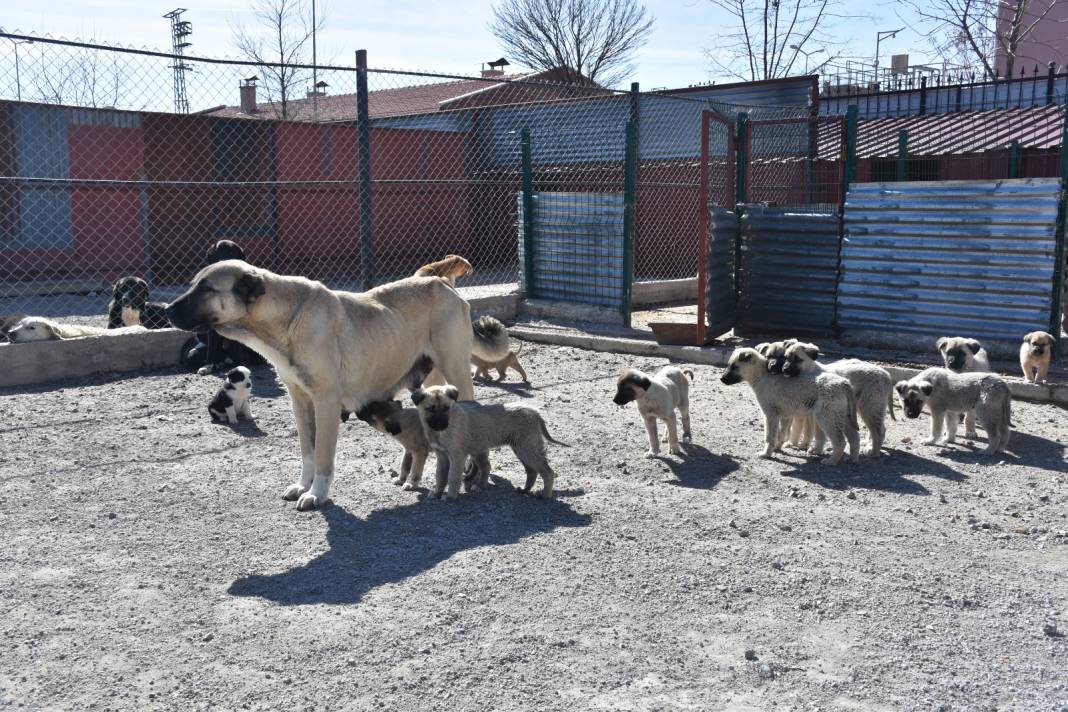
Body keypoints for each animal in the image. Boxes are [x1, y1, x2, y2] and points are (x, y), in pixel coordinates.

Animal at [164, 261, 474, 512]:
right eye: (193, 283)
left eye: (206, 288)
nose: (166, 310)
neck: (285, 319)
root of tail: (442, 282)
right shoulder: (300, 401)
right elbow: (308, 451)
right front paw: (304, 485)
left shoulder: (325, 401)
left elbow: (323, 453)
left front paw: (317, 494)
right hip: (431, 384)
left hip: (456, 369)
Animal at [179, 238, 262, 373]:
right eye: (217, 253)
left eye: (231, 253)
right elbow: (211, 348)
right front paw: (208, 366)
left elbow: (237, 349)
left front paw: (239, 366)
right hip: (194, 353)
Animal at [412, 386, 572, 499]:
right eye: (430, 409)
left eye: (446, 408)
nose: (442, 425)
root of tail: (534, 412)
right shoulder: (442, 457)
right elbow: (440, 477)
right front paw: (437, 493)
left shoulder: (457, 457)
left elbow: (452, 477)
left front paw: (450, 497)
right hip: (522, 449)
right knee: (532, 471)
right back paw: (525, 490)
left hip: (527, 449)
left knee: (548, 472)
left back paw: (545, 495)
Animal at [717, 345, 858, 467]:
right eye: (729, 365)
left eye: (734, 366)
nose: (721, 379)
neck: (762, 375)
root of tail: (843, 383)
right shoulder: (785, 416)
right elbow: (782, 433)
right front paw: (777, 448)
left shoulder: (770, 415)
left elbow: (770, 436)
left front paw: (766, 453)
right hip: (842, 417)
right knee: (854, 437)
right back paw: (852, 458)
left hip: (827, 418)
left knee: (840, 441)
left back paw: (831, 461)